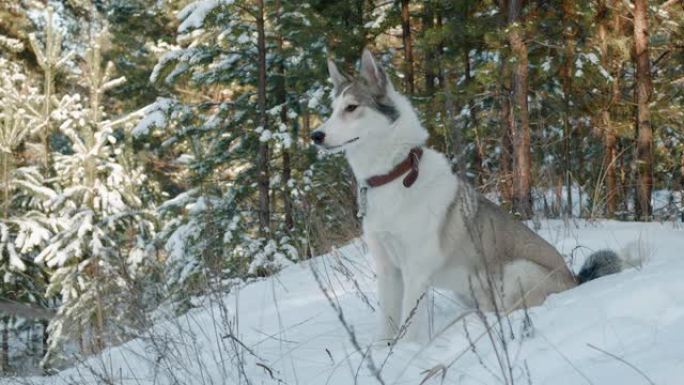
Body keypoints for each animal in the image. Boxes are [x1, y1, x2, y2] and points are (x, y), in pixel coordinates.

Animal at [312, 49, 624, 340]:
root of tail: (574, 279)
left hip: (516, 271)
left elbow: (409, 328)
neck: (395, 174)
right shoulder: (388, 270)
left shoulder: (415, 271)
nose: (316, 135)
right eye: (332, 109)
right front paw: (383, 351)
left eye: (352, 107)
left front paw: (406, 350)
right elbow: (387, 325)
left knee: (509, 311)